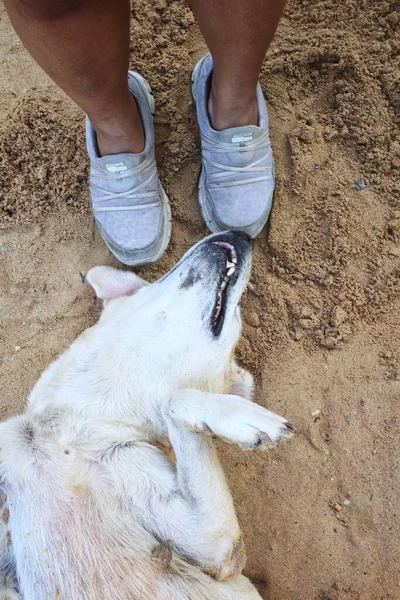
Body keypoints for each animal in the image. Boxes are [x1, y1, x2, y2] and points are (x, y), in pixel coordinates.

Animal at [0, 231, 294, 600]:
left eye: (236, 318)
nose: (240, 234)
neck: (66, 426)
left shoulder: (214, 545)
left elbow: (175, 398)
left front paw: (239, 417)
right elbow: (175, 397)